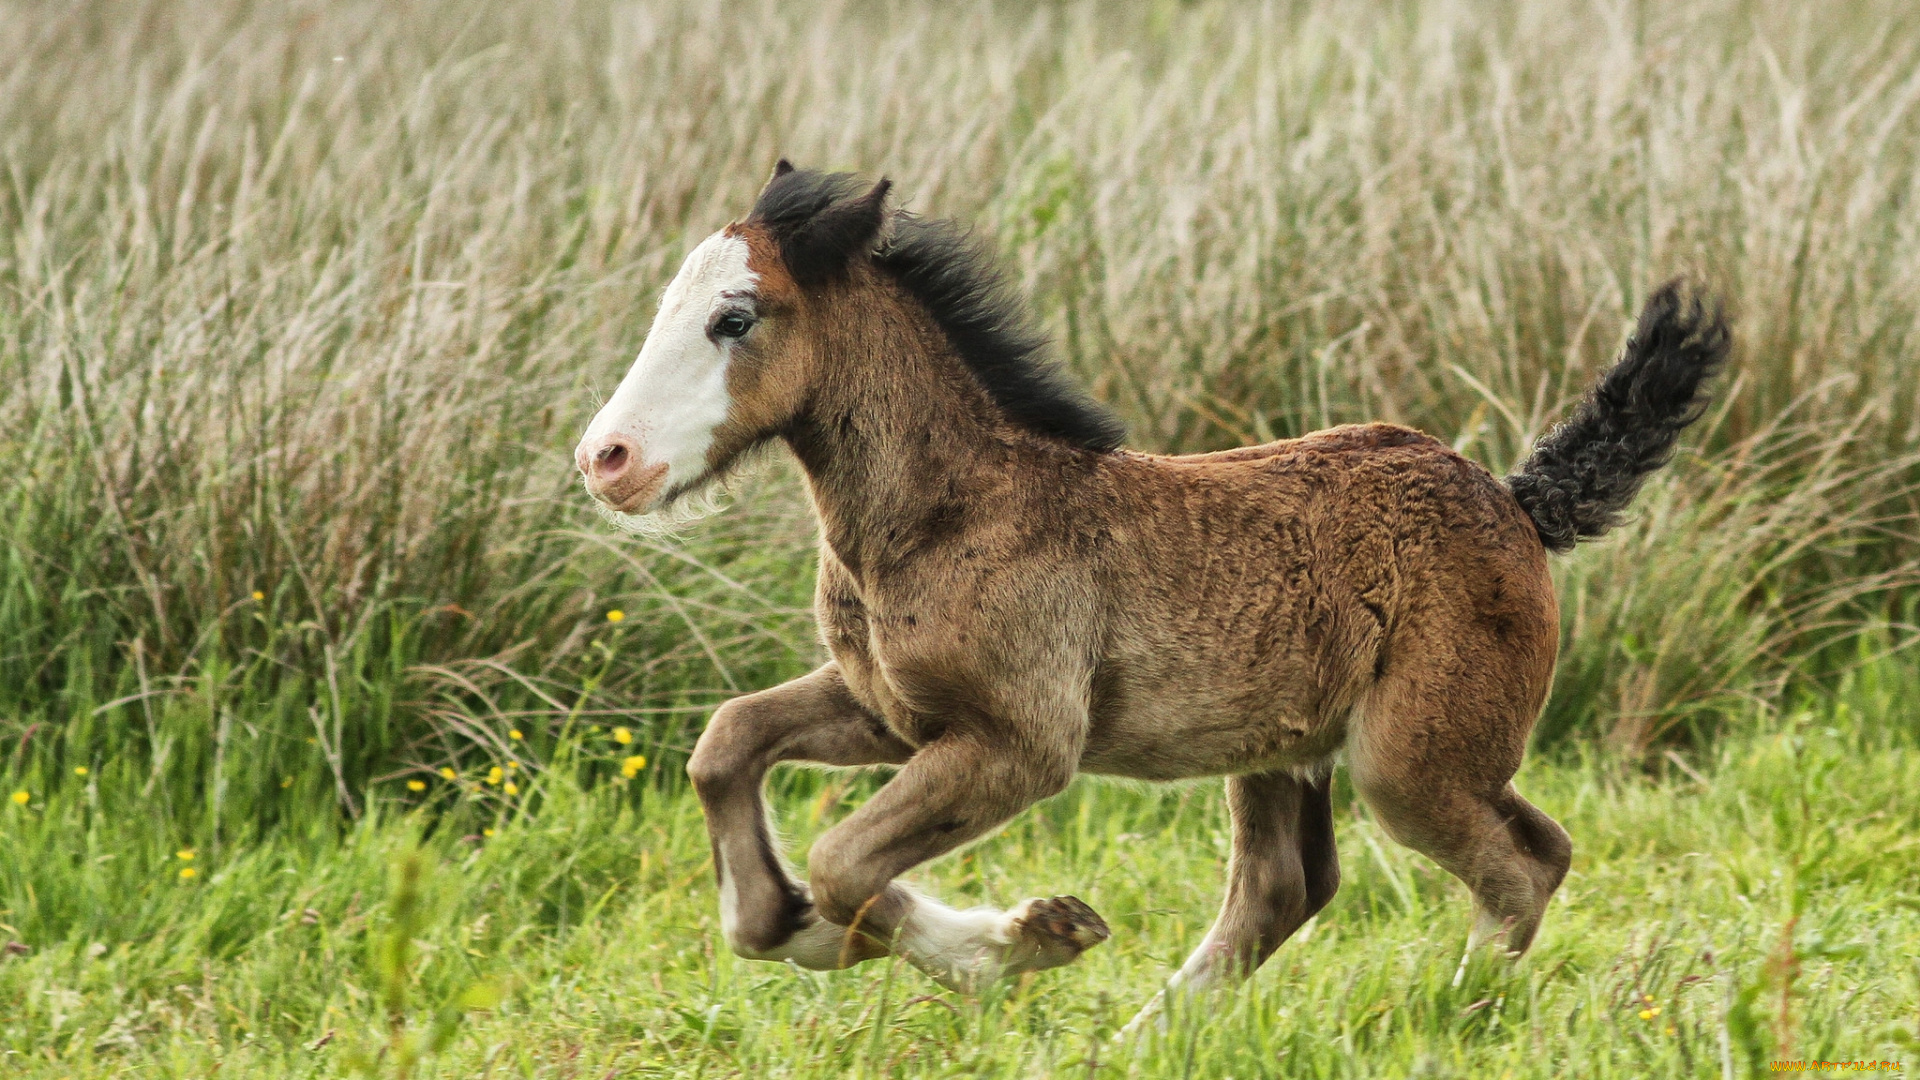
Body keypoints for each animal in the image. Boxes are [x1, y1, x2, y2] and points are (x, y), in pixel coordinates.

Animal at [572, 159, 1743, 1014]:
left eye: (736, 318)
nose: (607, 459)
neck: (953, 512)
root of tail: (1515, 503)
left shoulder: (1021, 741)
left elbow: (845, 859)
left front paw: (1021, 941)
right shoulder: (891, 711)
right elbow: (727, 746)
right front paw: (796, 925)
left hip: (1411, 757)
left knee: (1519, 865)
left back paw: (1447, 1013)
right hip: (1286, 745)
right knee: (1291, 886)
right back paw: (1153, 1036)